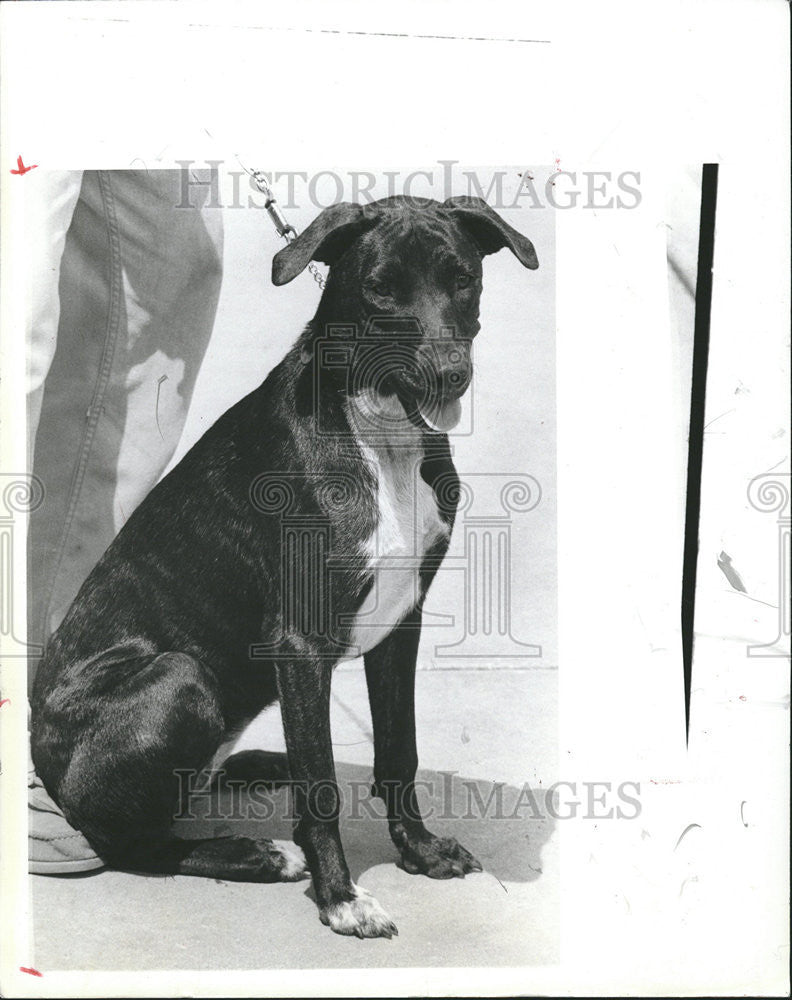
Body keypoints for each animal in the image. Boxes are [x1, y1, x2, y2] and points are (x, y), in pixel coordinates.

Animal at [31, 193, 540, 936]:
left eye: (463, 277)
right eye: (380, 287)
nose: (451, 374)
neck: (380, 434)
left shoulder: (401, 620)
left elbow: (399, 749)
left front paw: (419, 850)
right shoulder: (300, 642)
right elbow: (322, 789)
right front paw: (340, 897)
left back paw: (257, 766)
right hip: (180, 679)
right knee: (133, 843)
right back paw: (257, 854)